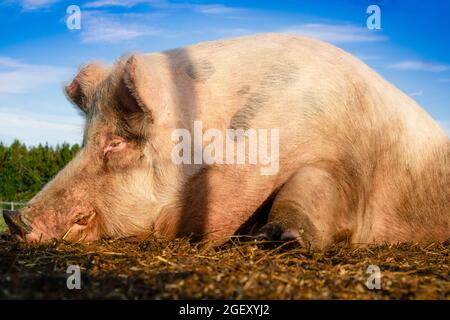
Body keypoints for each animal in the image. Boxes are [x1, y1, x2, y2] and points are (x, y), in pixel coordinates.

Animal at [2, 32, 446, 249]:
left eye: (116, 142)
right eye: (84, 139)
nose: (16, 220)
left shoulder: (344, 165)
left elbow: (309, 188)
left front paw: (274, 239)